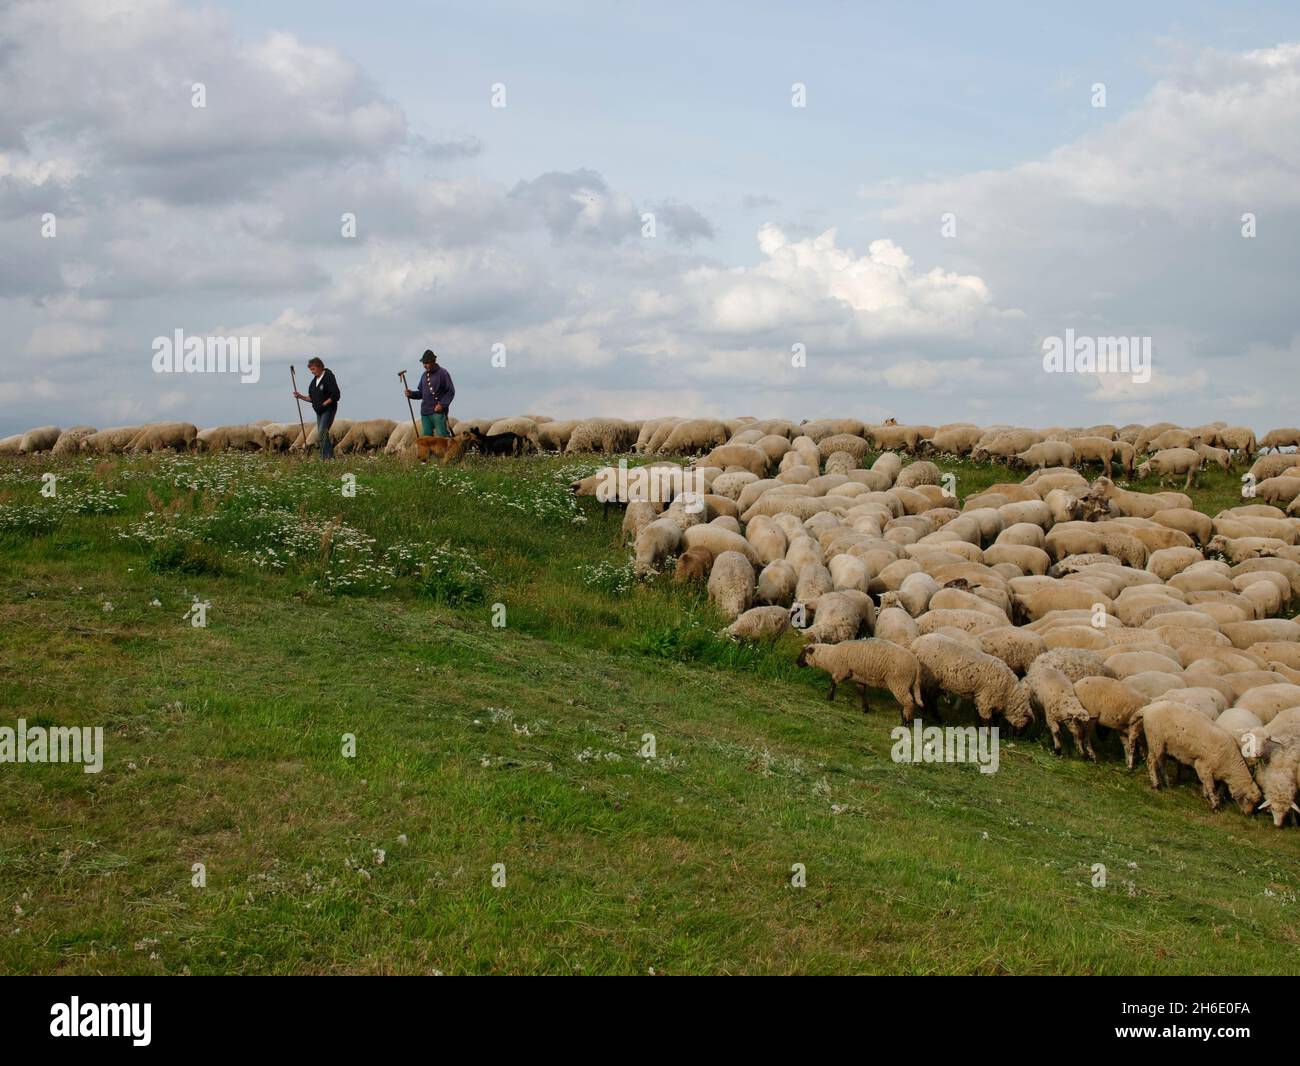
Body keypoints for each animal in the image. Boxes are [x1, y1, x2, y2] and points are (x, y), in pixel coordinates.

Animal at [790, 637, 925, 722]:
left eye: (803, 654)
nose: (796, 662)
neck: (830, 656)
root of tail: (917, 666)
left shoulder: (842, 670)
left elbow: (833, 681)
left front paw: (829, 698)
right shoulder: (859, 676)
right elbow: (861, 691)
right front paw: (865, 708)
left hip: (899, 682)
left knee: (909, 701)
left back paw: (906, 721)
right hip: (908, 683)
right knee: (910, 701)